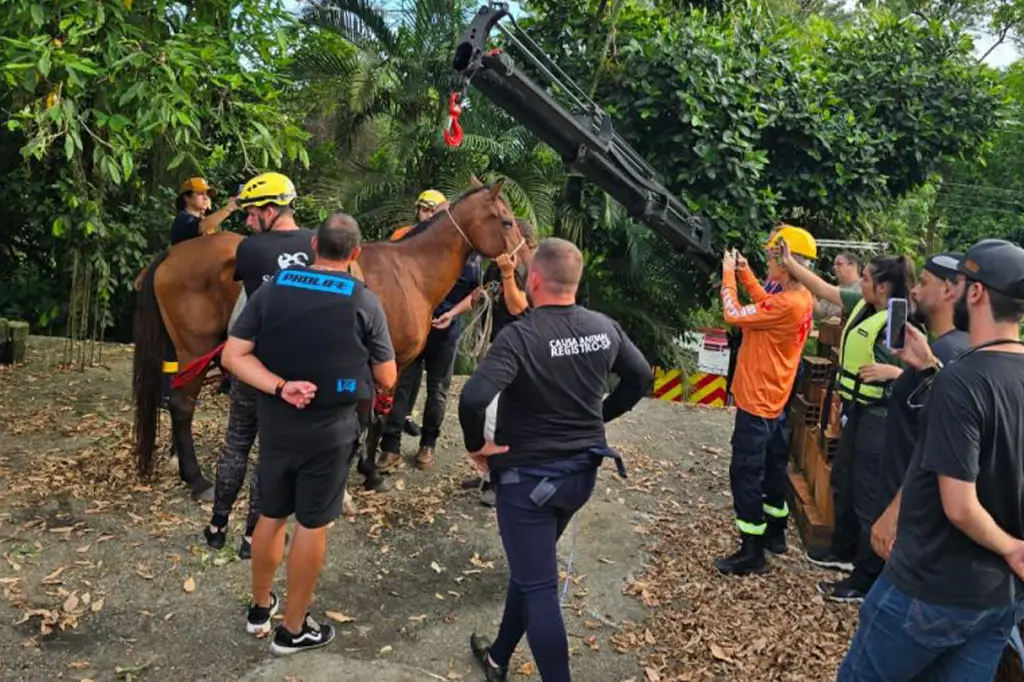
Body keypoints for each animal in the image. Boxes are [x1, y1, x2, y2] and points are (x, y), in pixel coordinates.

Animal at [132, 180, 528, 499]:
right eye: (507, 222)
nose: (523, 269)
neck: (409, 271)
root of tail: (172, 254)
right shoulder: (390, 363)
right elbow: (376, 418)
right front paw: (370, 473)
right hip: (195, 350)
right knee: (181, 406)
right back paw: (196, 478)